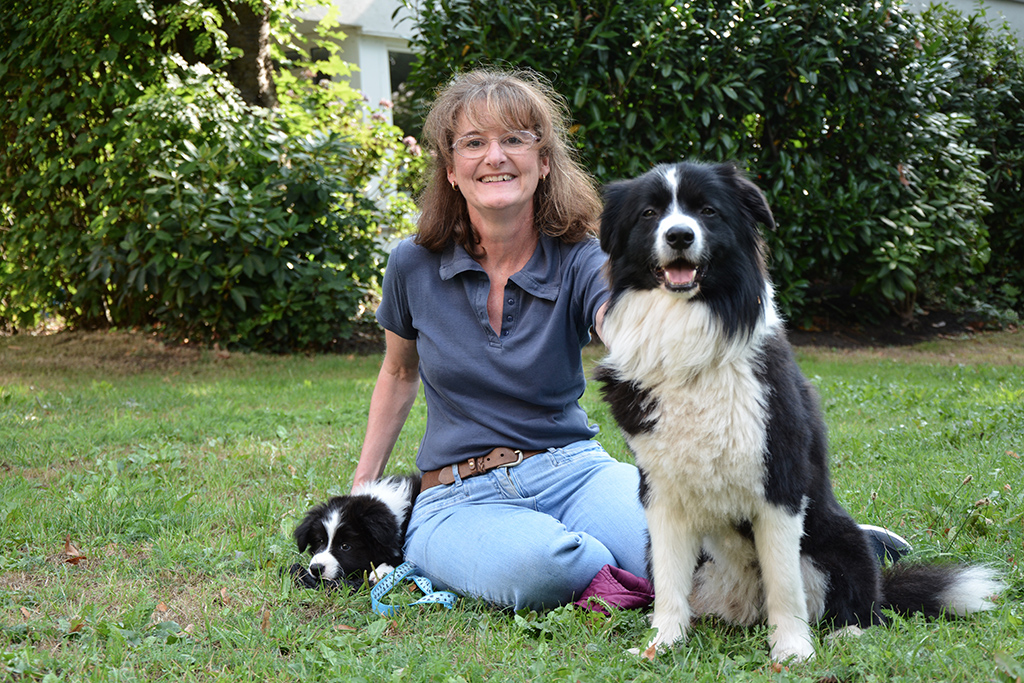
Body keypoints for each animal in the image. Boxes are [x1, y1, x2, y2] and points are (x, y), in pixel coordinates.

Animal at [598, 161, 1003, 663]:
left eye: (707, 211)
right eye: (650, 213)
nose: (678, 235)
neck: (690, 338)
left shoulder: (780, 485)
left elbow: (784, 584)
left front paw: (791, 649)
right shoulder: (662, 494)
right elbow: (671, 586)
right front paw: (662, 645)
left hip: (845, 540)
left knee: (865, 606)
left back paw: (850, 631)